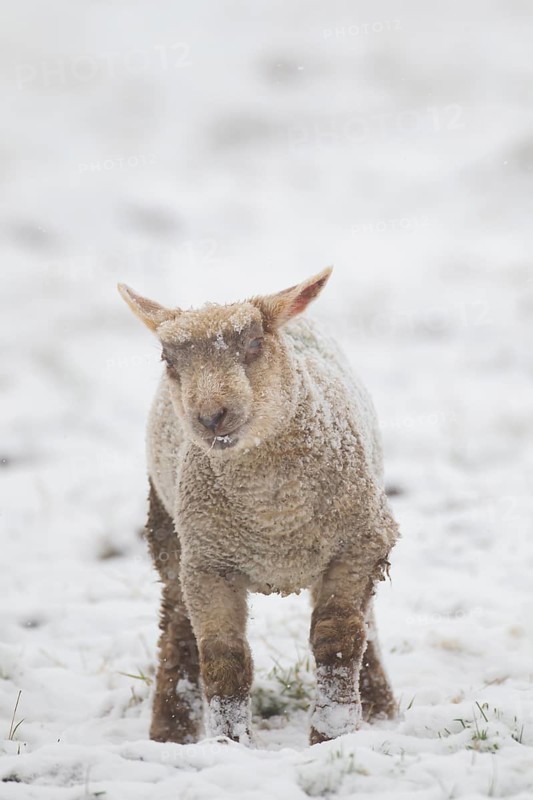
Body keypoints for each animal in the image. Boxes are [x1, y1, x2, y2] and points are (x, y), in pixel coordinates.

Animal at [117, 267, 399, 745]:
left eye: (252, 344)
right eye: (169, 361)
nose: (211, 416)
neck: (274, 516)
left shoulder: (358, 545)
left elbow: (339, 638)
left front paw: (333, 734)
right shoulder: (210, 564)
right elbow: (224, 660)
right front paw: (229, 745)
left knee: (368, 623)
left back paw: (381, 707)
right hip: (168, 528)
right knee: (175, 625)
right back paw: (171, 729)